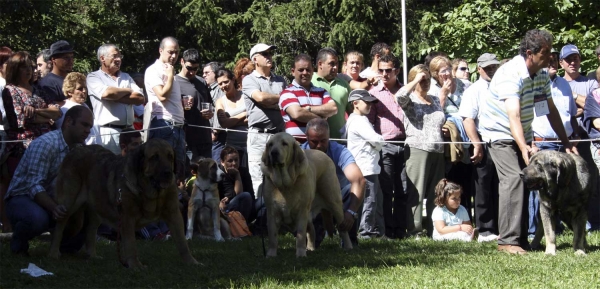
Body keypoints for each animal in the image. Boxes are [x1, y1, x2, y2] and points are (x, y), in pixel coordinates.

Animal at [49, 138, 198, 268]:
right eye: (154, 157)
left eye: (170, 156)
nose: (168, 173)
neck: (149, 193)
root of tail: (75, 150)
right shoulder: (127, 218)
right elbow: (131, 244)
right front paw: (136, 266)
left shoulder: (174, 214)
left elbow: (182, 242)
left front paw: (191, 262)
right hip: (69, 202)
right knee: (59, 226)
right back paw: (54, 253)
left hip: (98, 208)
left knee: (90, 230)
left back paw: (93, 255)